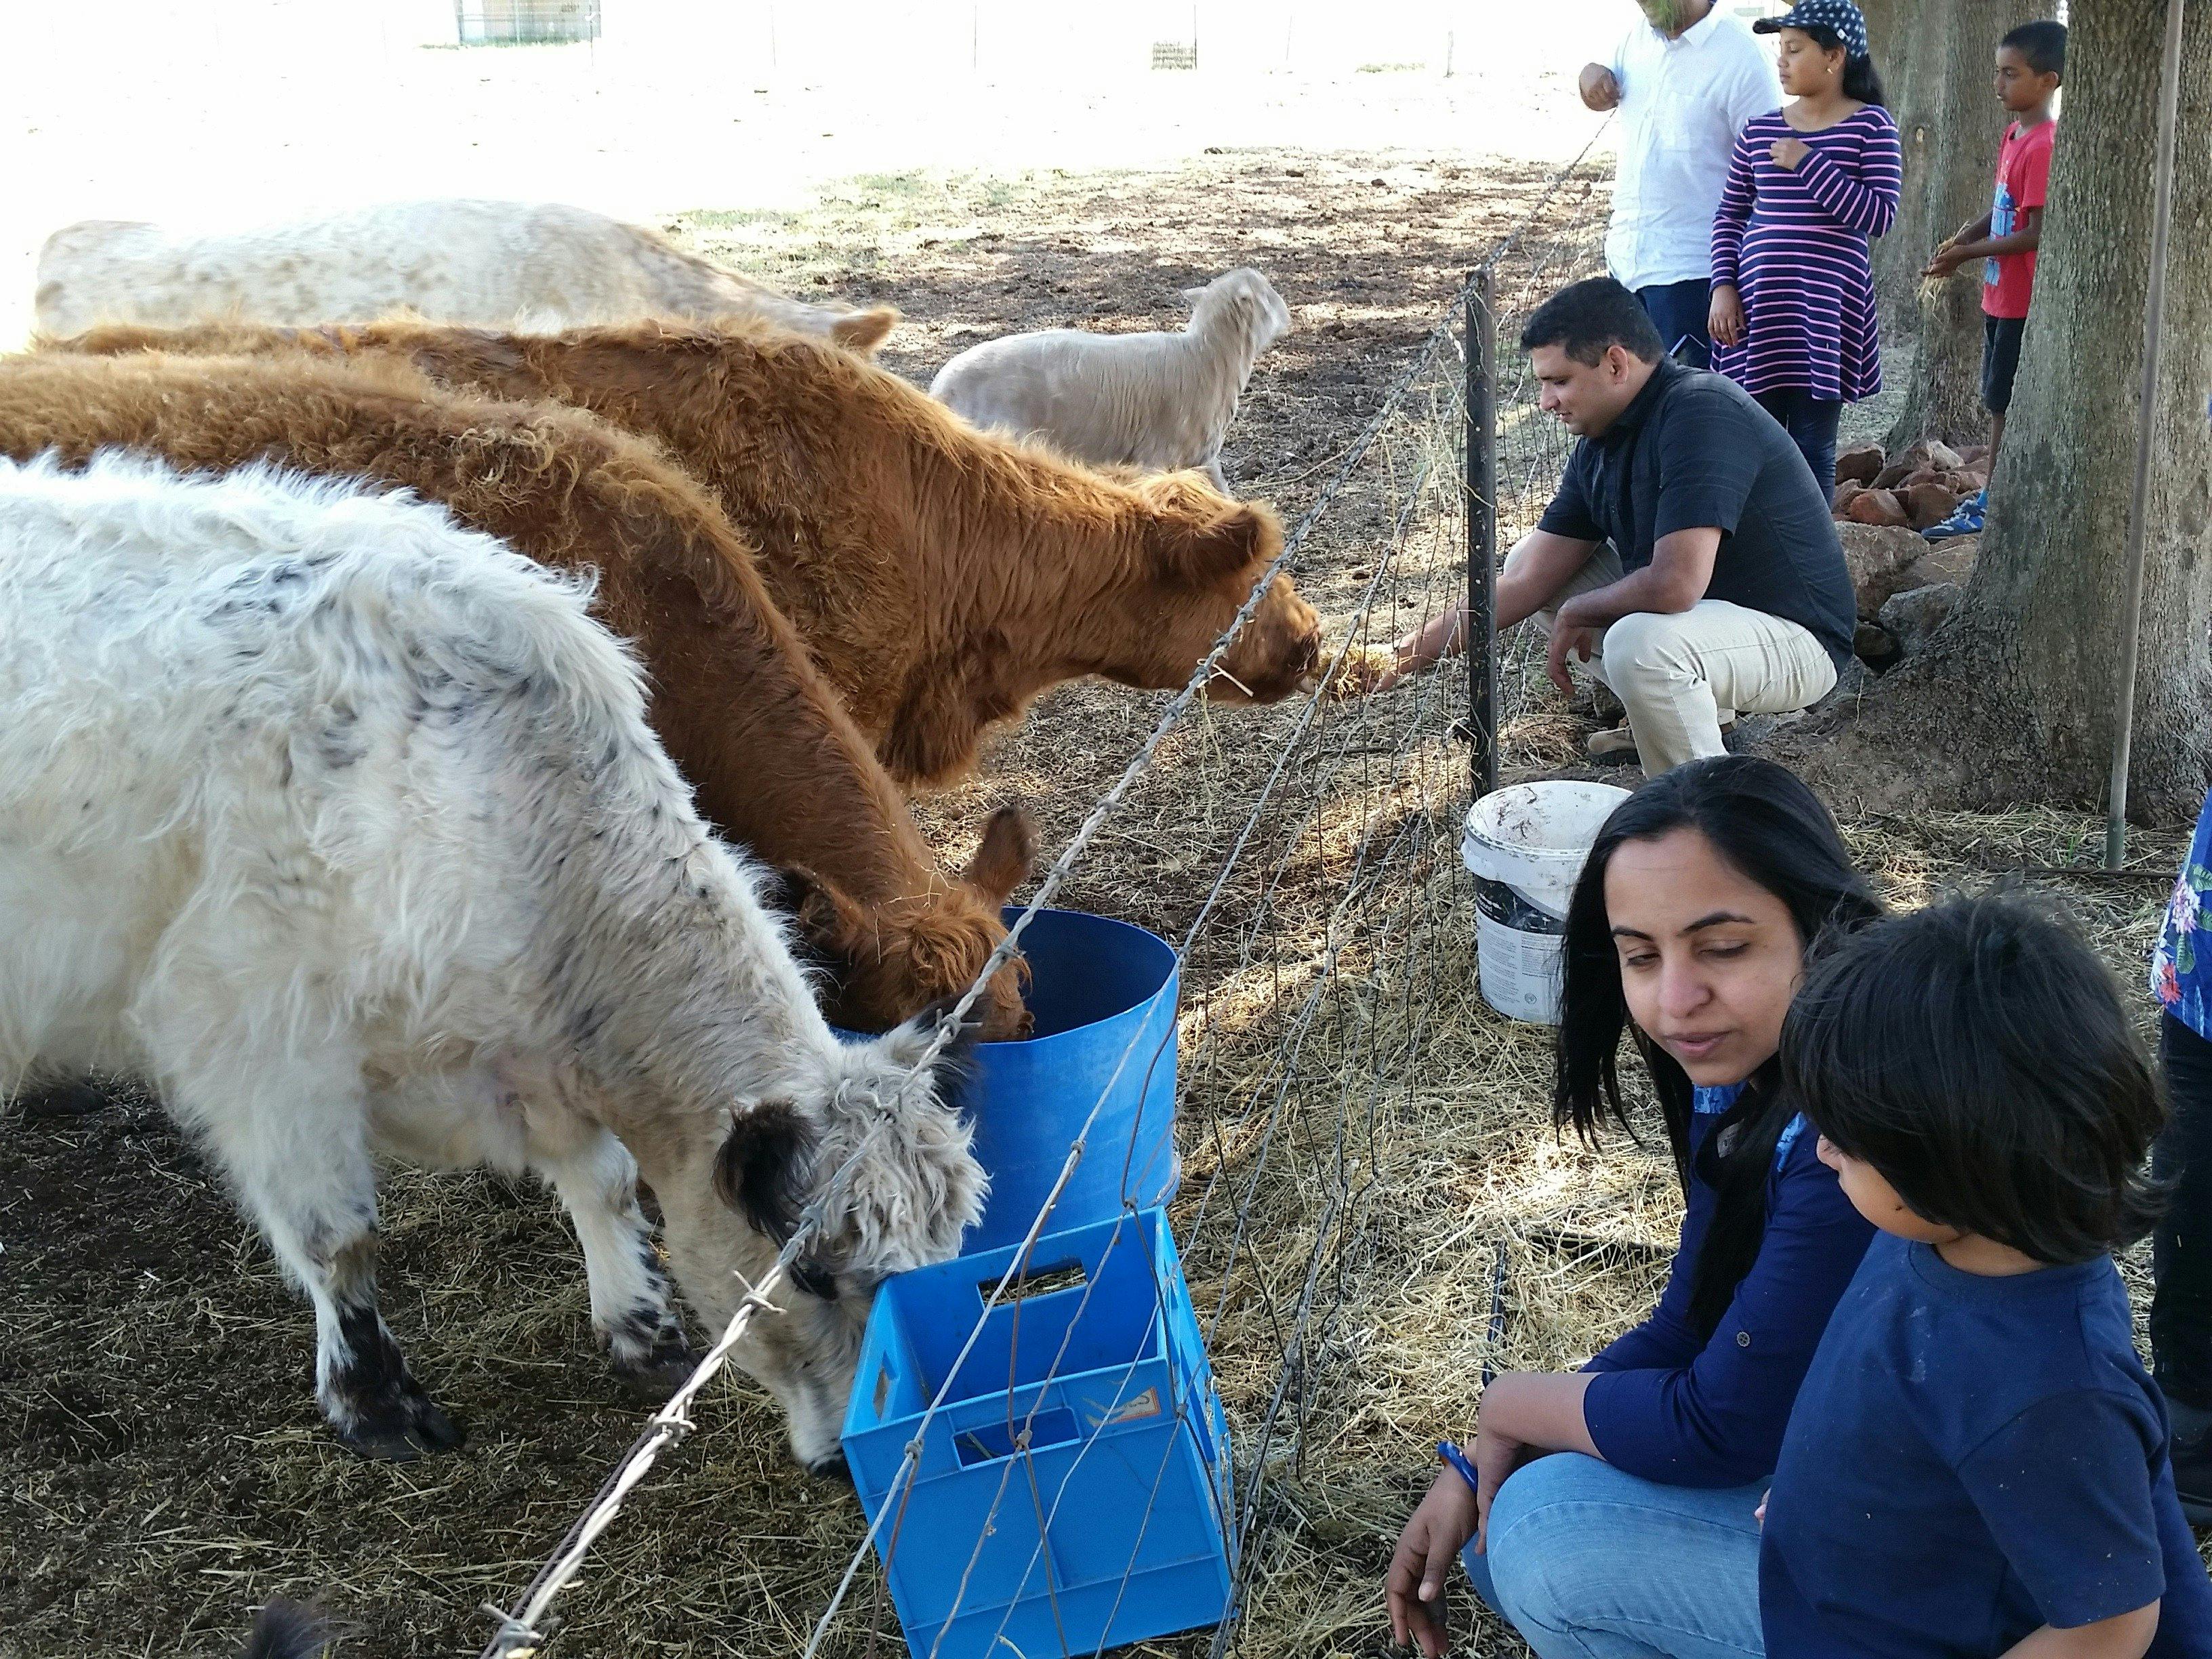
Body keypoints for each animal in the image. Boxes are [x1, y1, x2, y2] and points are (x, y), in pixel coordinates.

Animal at [0, 450, 985, 1469]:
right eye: (819, 1274)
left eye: (941, 1262)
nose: (852, 1459)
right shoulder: (266, 1053)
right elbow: (338, 1240)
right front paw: (375, 1403)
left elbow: (604, 1181)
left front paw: (642, 1330)